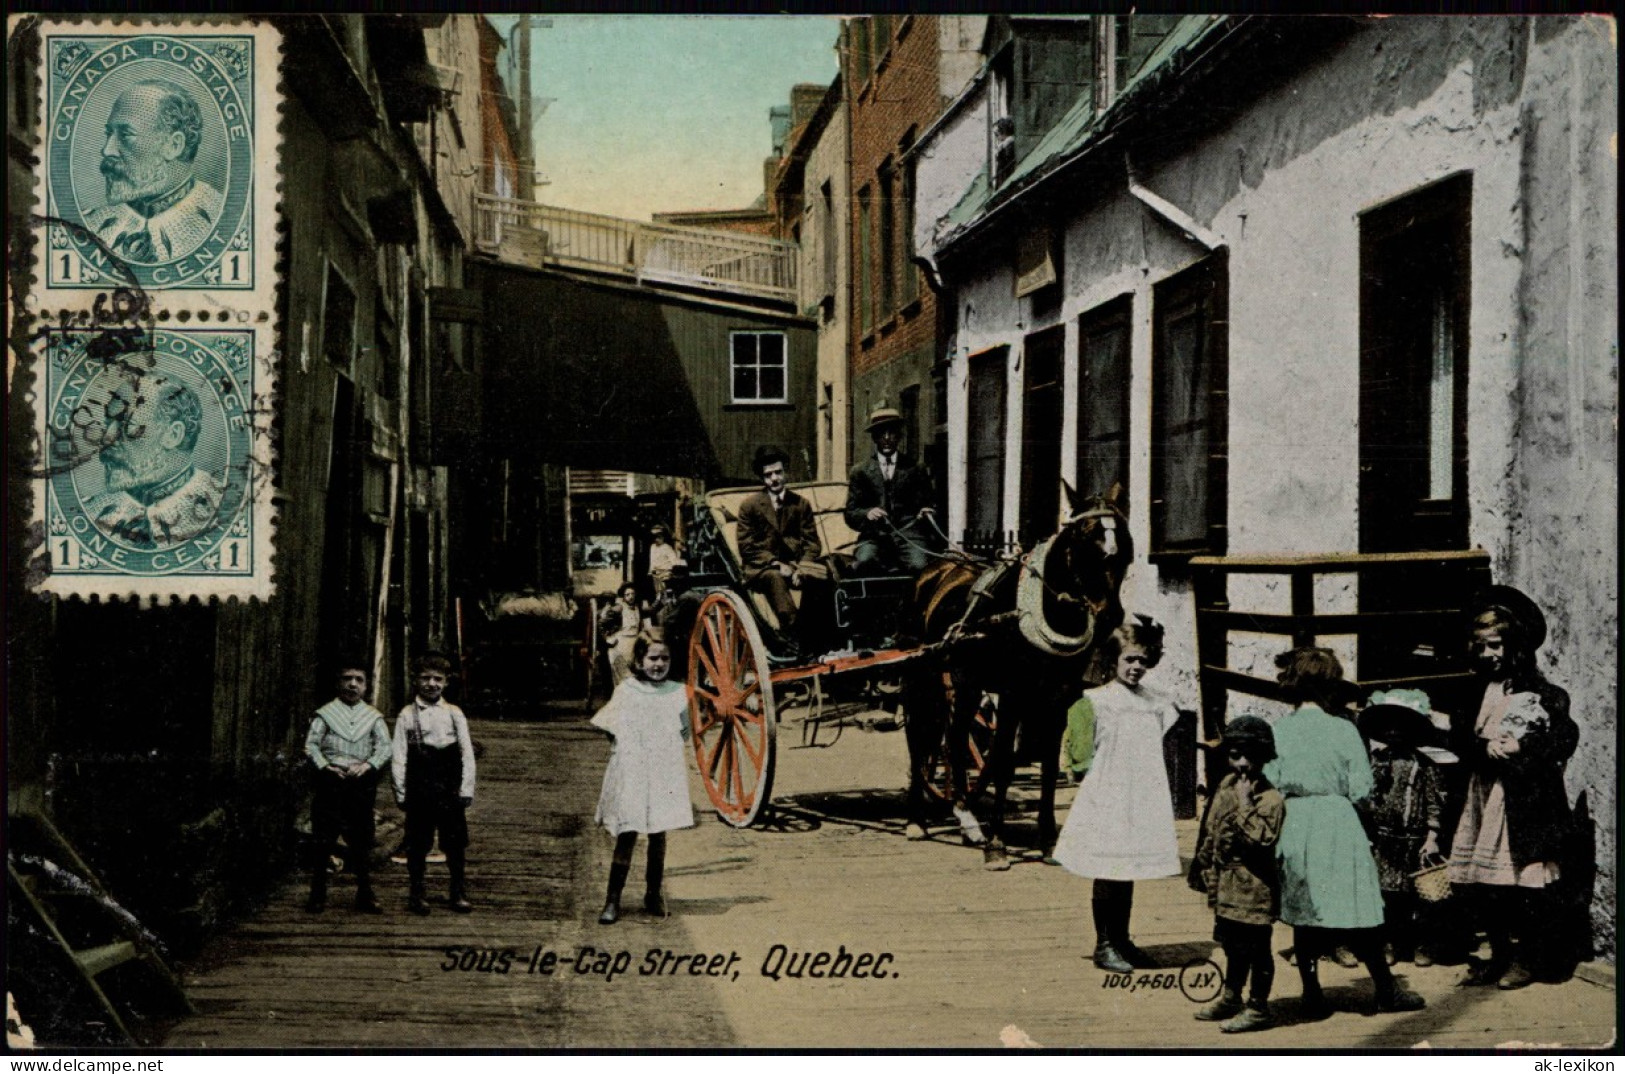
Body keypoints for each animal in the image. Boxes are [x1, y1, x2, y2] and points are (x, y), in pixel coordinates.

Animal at [903, 480, 1131, 864]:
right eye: (1084, 542)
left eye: (1126, 547)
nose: (1109, 615)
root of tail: (934, 570)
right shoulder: (1013, 694)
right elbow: (1003, 763)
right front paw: (997, 845)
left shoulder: (1057, 699)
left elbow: (1049, 767)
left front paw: (1048, 839)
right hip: (923, 678)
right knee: (919, 740)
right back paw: (917, 821)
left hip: (965, 681)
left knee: (954, 739)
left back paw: (967, 820)